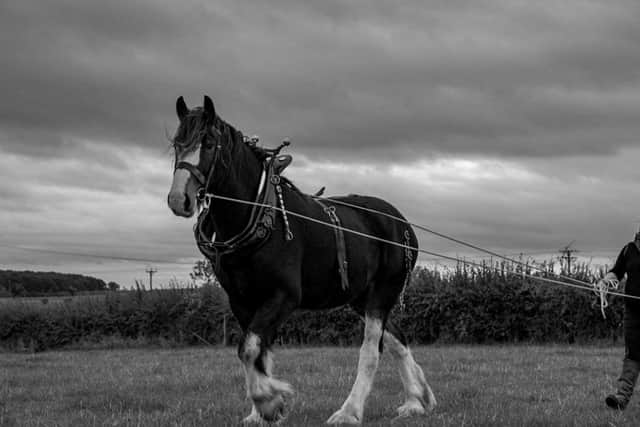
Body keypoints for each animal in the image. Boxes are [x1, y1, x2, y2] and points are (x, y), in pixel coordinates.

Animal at [166, 96, 436, 424]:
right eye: (177, 143)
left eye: (207, 143)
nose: (178, 199)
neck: (260, 215)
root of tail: (401, 222)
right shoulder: (241, 301)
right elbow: (258, 352)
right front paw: (262, 410)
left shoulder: (284, 296)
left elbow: (249, 348)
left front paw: (269, 401)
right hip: (361, 297)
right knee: (398, 339)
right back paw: (416, 399)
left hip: (383, 291)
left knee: (372, 351)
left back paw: (350, 411)